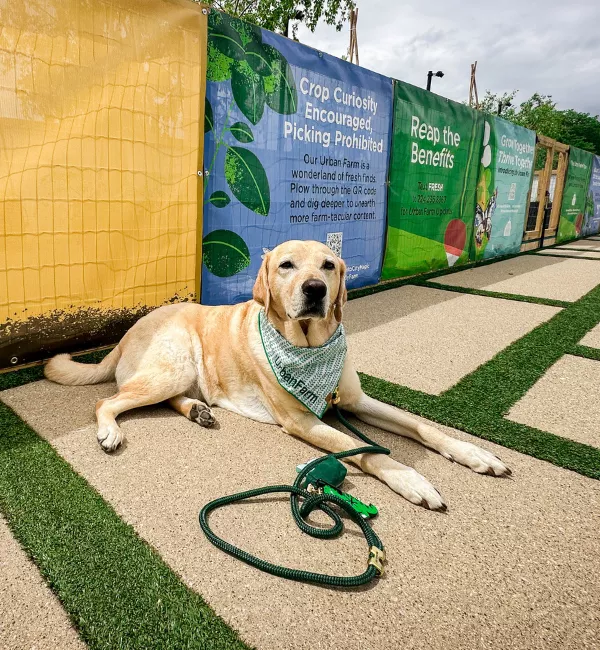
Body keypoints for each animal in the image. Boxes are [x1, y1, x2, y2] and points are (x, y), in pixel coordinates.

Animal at [44, 238, 508, 506]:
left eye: (328, 265)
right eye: (286, 265)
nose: (315, 290)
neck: (310, 346)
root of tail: (127, 332)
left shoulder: (355, 400)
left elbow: (421, 425)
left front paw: (475, 453)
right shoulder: (301, 419)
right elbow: (362, 449)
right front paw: (412, 481)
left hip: (178, 375)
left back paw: (198, 410)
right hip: (171, 366)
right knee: (106, 400)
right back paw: (110, 430)